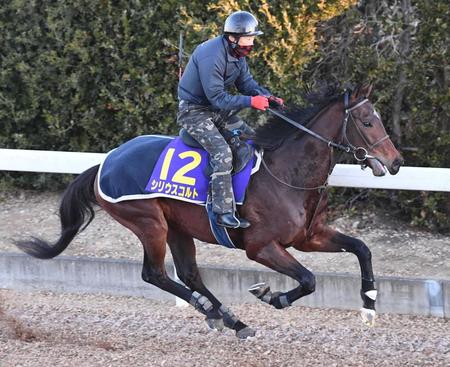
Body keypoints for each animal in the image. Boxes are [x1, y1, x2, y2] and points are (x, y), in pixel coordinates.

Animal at [16, 83, 404, 340]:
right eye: (367, 122)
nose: (395, 162)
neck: (287, 172)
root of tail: (105, 163)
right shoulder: (260, 246)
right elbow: (308, 279)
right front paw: (272, 295)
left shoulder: (310, 237)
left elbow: (362, 249)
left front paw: (369, 303)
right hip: (149, 223)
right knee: (154, 274)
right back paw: (215, 311)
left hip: (176, 227)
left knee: (189, 273)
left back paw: (229, 317)